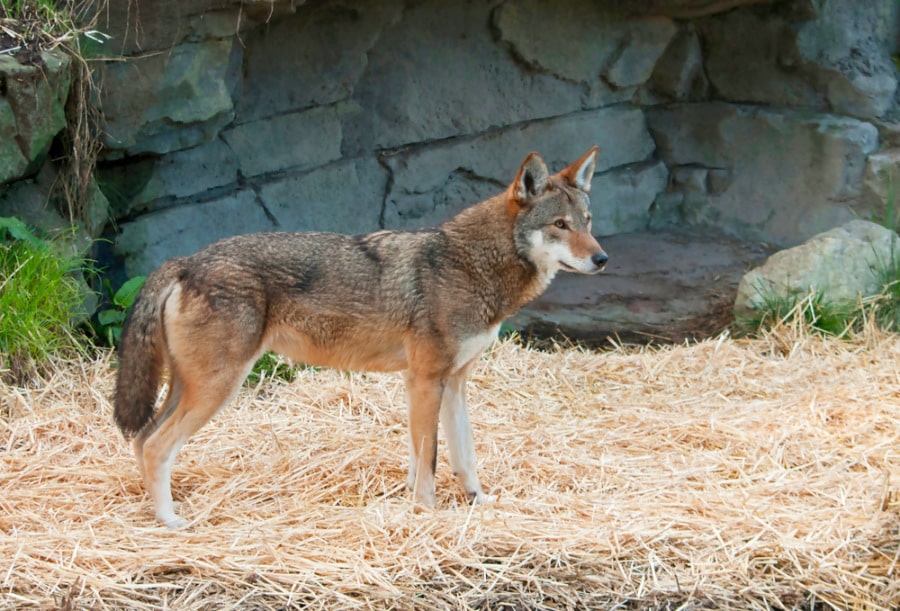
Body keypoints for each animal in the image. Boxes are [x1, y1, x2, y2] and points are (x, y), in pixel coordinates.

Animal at [114, 147, 608, 527]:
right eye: (560, 225)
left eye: (587, 220)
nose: (602, 259)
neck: (471, 265)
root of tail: (185, 261)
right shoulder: (426, 380)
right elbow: (429, 460)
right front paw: (425, 512)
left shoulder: (451, 383)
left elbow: (460, 456)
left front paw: (478, 502)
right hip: (217, 389)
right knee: (155, 445)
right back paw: (170, 521)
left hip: (191, 389)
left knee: (141, 440)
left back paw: (154, 508)